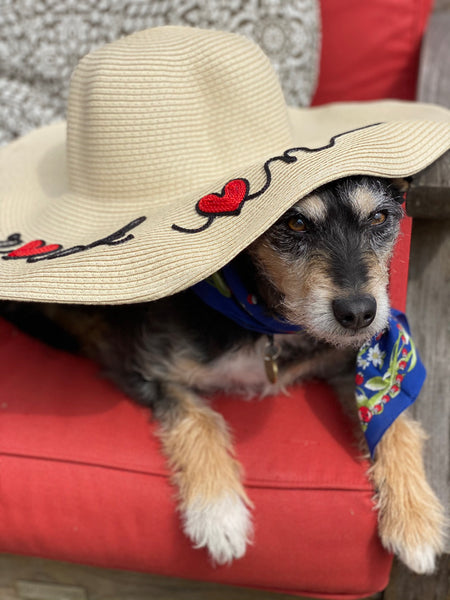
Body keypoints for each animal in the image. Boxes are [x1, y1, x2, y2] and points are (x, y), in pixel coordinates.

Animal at [2, 172, 442, 572]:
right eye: (295, 222)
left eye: (380, 217)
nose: (358, 313)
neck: (264, 318)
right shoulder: (149, 366)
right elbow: (200, 419)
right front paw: (219, 513)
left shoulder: (352, 360)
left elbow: (394, 417)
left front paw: (415, 519)